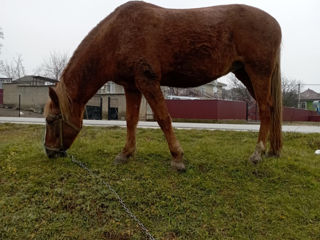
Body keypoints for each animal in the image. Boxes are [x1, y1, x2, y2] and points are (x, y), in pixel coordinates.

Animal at [43, 1, 282, 171]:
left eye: (51, 120)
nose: (49, 152)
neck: (117, 36)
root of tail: (275, 24)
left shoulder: (147, 81)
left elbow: (163, 118)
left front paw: (177, 158)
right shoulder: (131, 86)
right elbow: (131, 120)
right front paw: (125, 153)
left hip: (257, 73)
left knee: (264, 109)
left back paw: (257, 154)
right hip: (246, 74)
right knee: (270, 108)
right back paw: (272, 150)